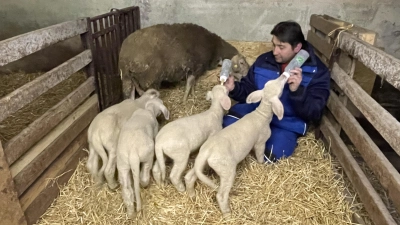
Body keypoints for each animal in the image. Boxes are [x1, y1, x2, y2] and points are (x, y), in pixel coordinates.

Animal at [184, 74, 288, 218]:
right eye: (281, 90)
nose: (284, 75)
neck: (261, 115)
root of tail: (206, 151)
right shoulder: (261, 142)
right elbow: (260, 154)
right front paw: (262, 164)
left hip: (202, 163)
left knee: (190, 176)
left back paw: (192, 195)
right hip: (226, 169)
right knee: (221, 195)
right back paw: (227, 214)